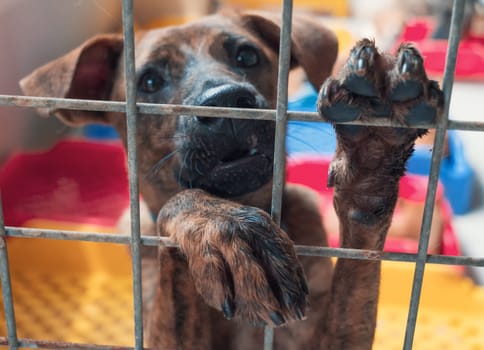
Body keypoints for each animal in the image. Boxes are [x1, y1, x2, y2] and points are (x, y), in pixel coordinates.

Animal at [19, 10, 442, 350]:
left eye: (247, 56)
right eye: (150, 82)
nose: (226, 103)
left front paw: (372, 154)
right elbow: (183, 204)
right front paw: (221, 228)